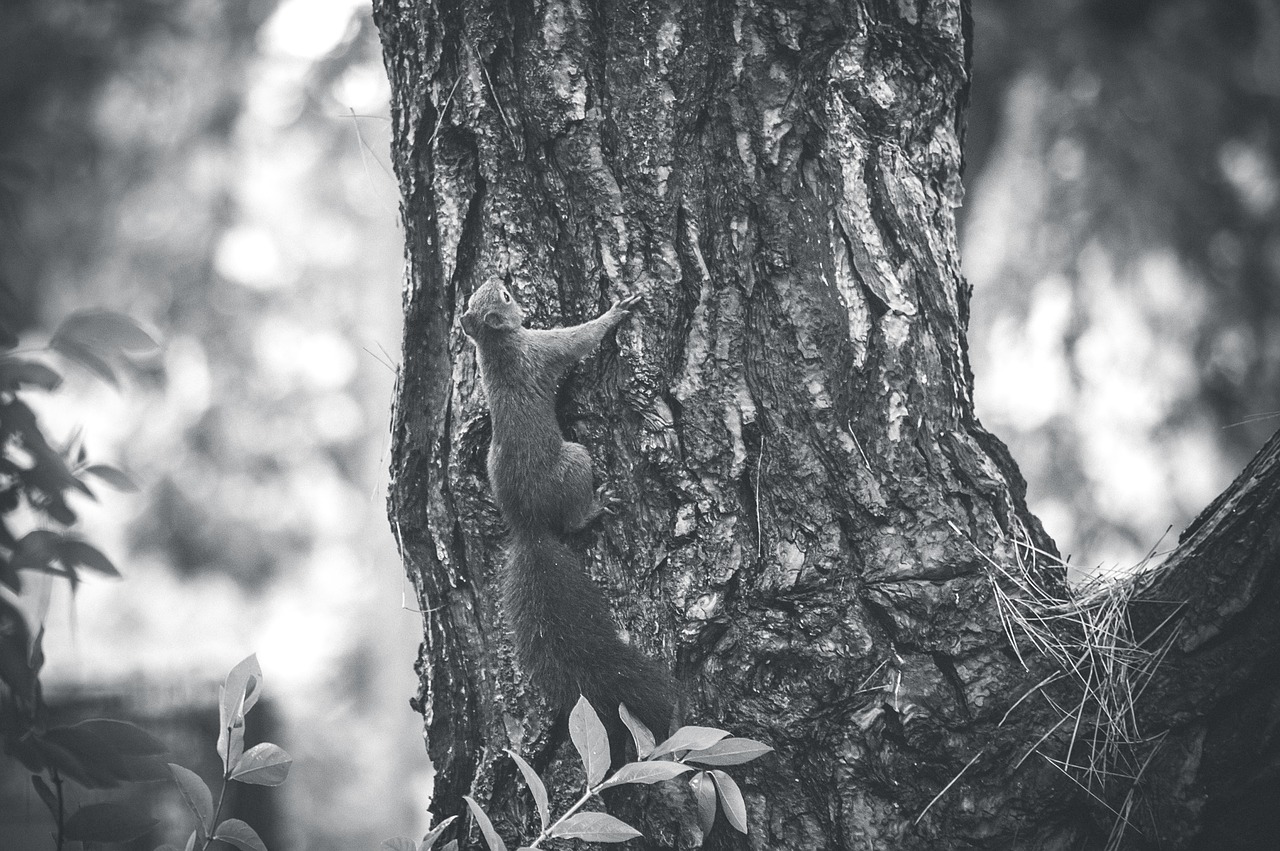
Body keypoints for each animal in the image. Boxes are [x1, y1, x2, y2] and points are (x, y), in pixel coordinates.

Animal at [463, 277, 680, 737]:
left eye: (482, 295)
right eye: (505, 297)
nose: (497, 277)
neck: (497, 346)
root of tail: (527, 525)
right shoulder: (544, 349)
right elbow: (580, 340)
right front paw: (617, 311)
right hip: (576, 460)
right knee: (574, 516)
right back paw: (595, 508)